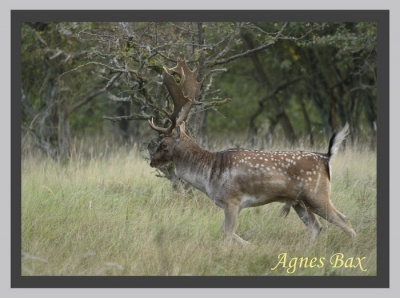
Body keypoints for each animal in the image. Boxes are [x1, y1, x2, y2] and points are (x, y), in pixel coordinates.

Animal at [148, 57, 356, 244]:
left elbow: (227, 233)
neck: (208, 175)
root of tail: (326, 157)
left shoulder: (232, 201)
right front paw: (250, 246)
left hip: (317, 194)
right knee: (316, 227)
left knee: (345, 221)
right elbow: (226, 231)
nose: (152, 161)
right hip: (299, 202)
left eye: (164, 144)